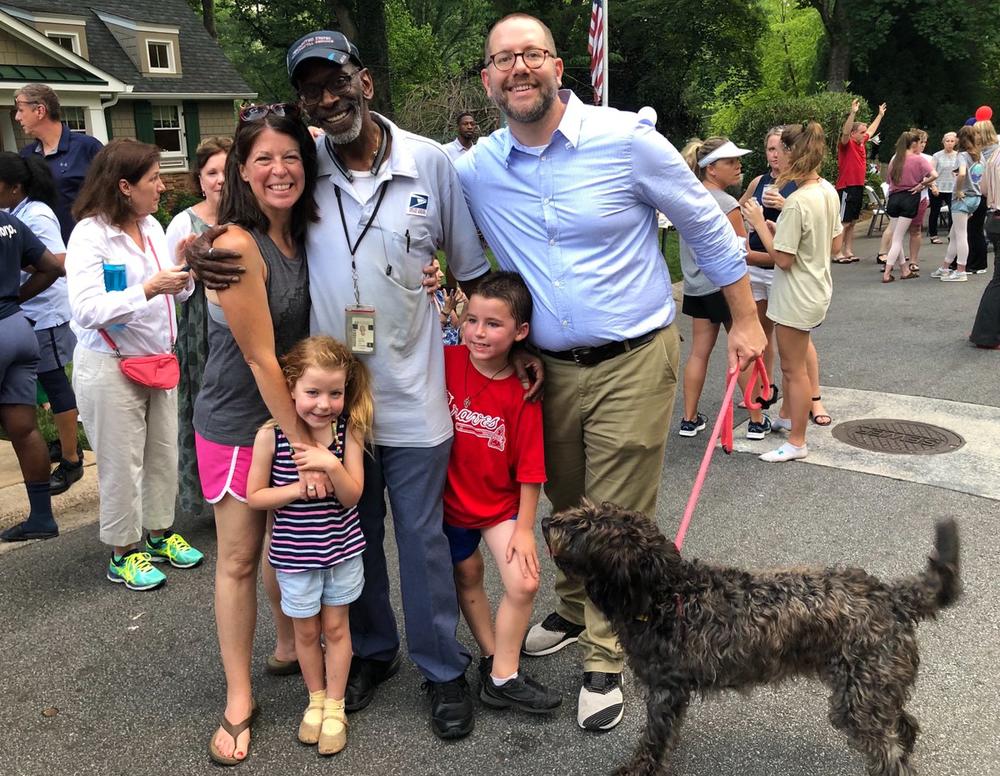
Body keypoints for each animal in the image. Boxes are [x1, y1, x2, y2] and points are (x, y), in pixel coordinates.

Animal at [548, 504, 960, 776]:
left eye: (583, 526)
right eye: (582, 510)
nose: (546, 521)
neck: (667, 594)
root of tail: (891, 596)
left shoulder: (665, 692)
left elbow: (654, 739)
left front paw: (639, 769)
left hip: (859, 701)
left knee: (892, 755)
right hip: (871, 692)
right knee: (904, 726)